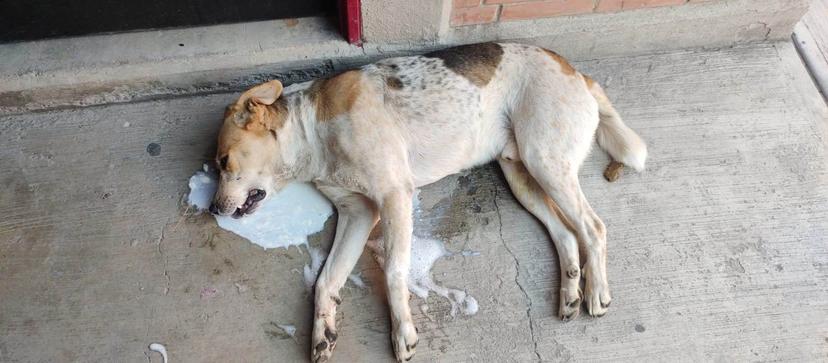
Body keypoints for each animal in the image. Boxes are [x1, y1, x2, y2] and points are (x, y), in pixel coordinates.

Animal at [209, 42, 648, 362]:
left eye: (223, 161)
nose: (213, 210)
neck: (312, 131)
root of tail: (579, 73)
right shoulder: (358, 212)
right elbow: (326, 281)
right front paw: (322, 333)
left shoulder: (393, 196)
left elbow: (394, 271)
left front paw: (402, 332)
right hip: (522, 176)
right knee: (566, 234)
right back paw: (571, 292)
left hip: (546, 162)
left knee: (593, 228)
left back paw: (595, 292)